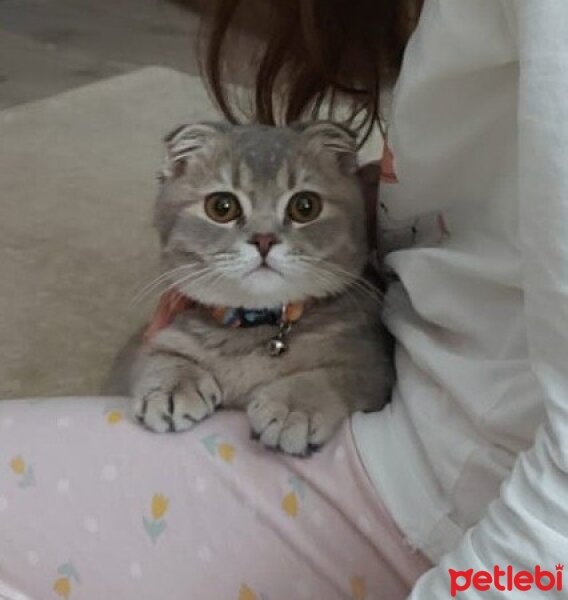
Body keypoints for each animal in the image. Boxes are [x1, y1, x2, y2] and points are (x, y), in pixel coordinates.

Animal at [105, 120, 390, 454]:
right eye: (222, 207)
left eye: (305, 206)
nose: (264, 239)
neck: (253, 330)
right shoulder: (148, 342)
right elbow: (160, 354)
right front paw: (173, 383)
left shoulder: (375, 366)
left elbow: (340, 375)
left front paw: (295, 405)